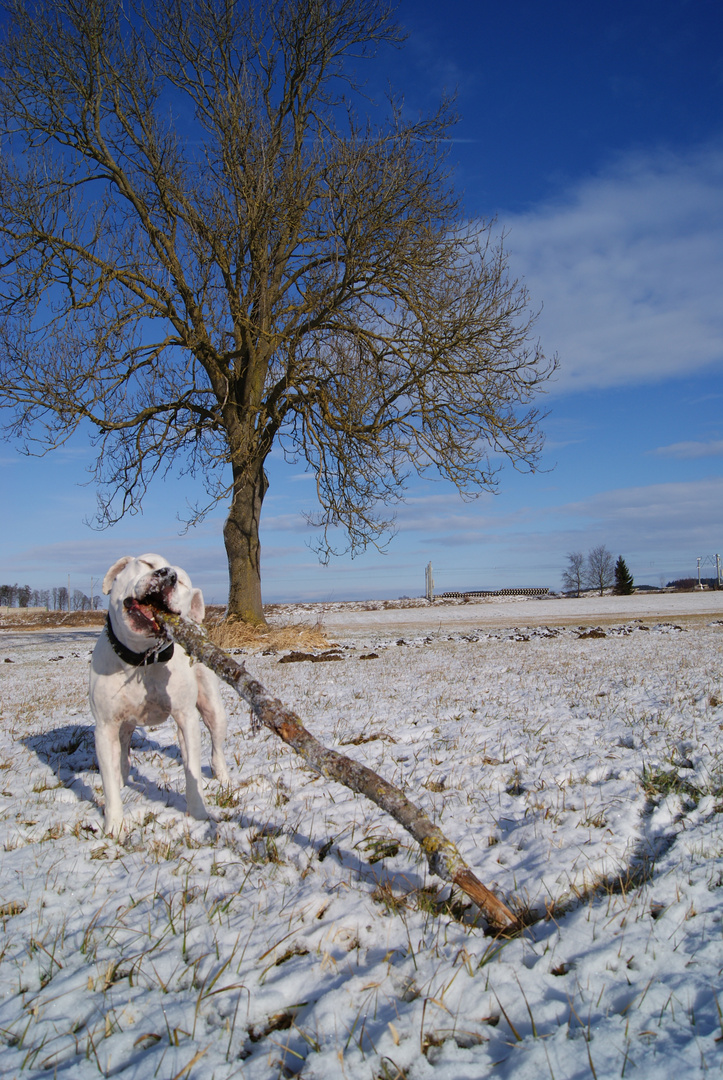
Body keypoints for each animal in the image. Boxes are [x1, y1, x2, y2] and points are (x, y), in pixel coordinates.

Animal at [89, 557, 228, 833]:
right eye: (146, 562)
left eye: (181, 581)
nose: (168, 575)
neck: (141, 660)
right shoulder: (105, 727)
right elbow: (108, 782)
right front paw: (114, 827)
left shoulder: (186, 718)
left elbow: (192, 772)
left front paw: (198, 815)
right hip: (124, 726)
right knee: (122, 751)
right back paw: (122, 776)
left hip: (213, 708)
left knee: (216, 742)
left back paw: (223, 776)